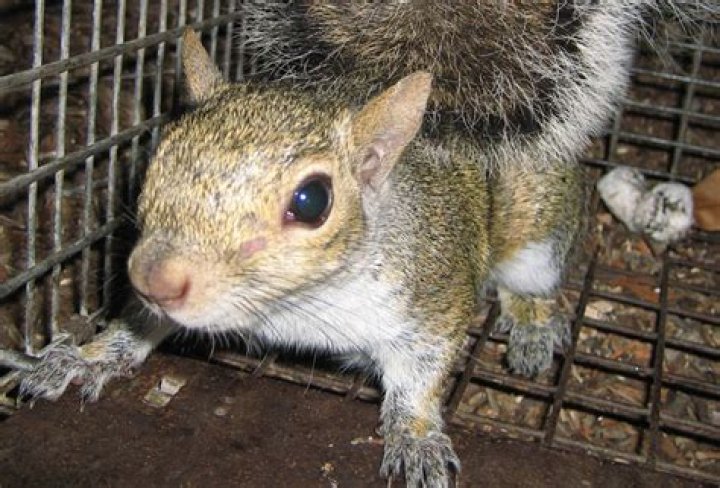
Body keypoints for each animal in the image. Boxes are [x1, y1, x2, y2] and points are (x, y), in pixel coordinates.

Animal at [20, 2, 719, 487]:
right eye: (158, 154)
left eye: (311, 201)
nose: (157, 279)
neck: (297, 305)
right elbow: (138, 328)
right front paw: (87, 356)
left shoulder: (433, 298)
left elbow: (420, 375)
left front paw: (414, 438)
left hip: (537, 222)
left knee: (535, 280)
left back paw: (531, 325)